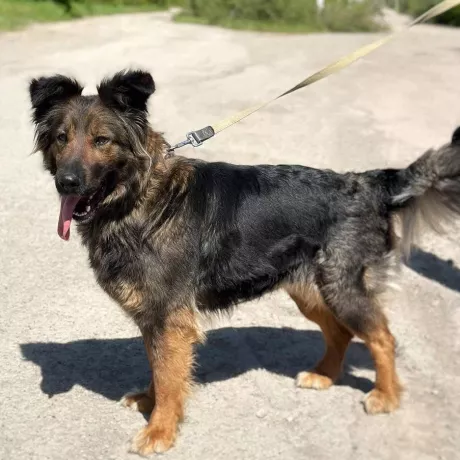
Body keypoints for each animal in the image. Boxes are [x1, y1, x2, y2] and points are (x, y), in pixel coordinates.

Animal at [29, 69, 460, 455]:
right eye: (61, 138)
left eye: (101, 140)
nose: (66, 183)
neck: (139, 198)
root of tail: (369, 182)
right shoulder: (156, 317)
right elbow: (159, 368)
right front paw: (151, 406)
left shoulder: (170, 317)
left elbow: (169, 378)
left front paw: (159, 431)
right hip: (309, 290)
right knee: (340, 332)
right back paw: (324, 376)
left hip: (341, 287)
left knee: (382, 337)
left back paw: (386, 396)